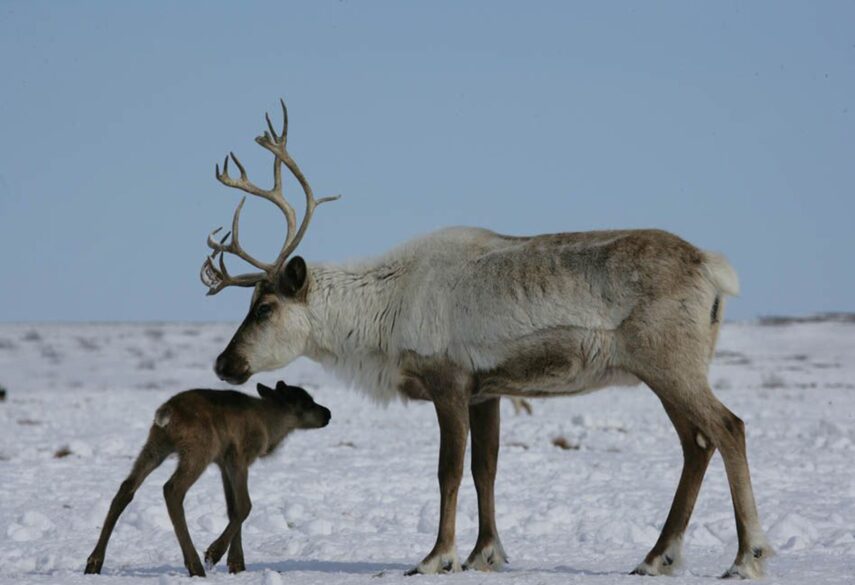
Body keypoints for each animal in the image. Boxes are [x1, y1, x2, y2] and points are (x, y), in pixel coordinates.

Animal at [84, 380, 332, 576]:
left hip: (156, 445)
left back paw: (94, 562)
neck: (270, 428)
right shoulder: (238, 456)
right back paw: (195, 565)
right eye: (307, 402)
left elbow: (232, 508)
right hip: (199, 449)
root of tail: (166, 412)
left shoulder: (223, 463)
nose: (328, 413)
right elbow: (244, 506)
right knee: (172, 489)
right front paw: (215, 553)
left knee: (126, 488)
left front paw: (237, 564)